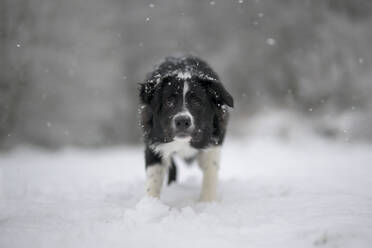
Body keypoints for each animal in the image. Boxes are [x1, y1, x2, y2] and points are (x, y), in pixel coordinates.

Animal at [138, 54, 234, 202]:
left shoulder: (214, 142)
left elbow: (210, 174)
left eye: (197, 101)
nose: (182, 121)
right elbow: (154, 178)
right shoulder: (153, 144)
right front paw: (150, 204)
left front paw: (207, 202)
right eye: (169, 101)